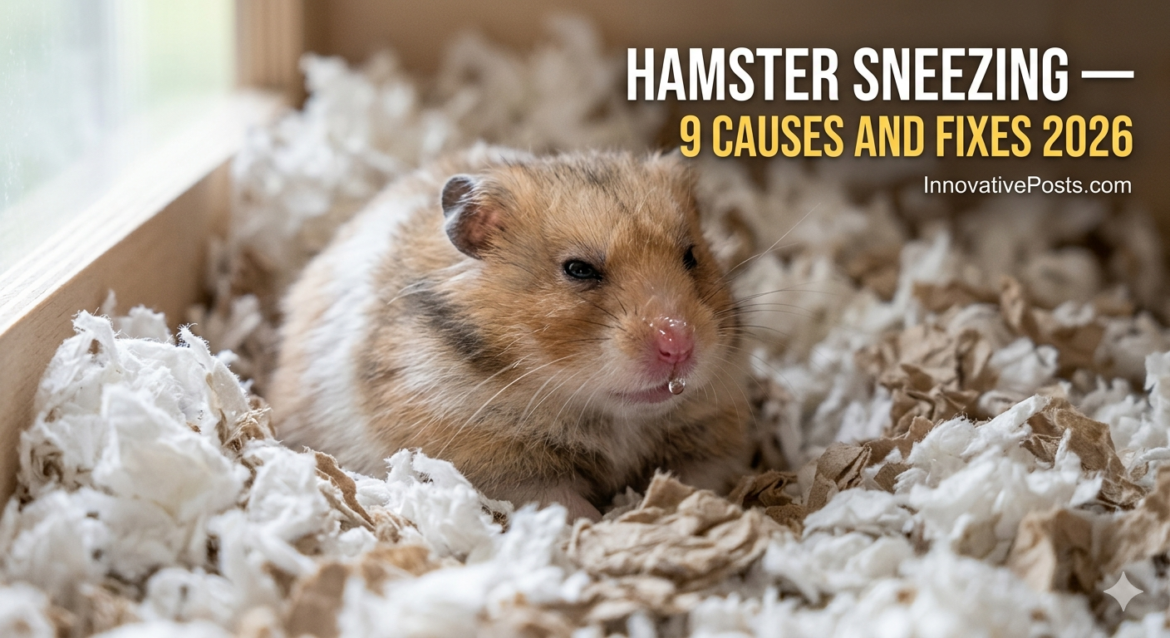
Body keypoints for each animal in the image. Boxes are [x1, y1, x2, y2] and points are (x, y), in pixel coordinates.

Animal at [269, 146, 751, 520]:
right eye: (578, 269)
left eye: (691, 256)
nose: (679, 346)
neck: (613, 419)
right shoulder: (491, 461)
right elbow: (560, 502)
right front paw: (600, 525)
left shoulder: (712, 435)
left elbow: (698, 480)